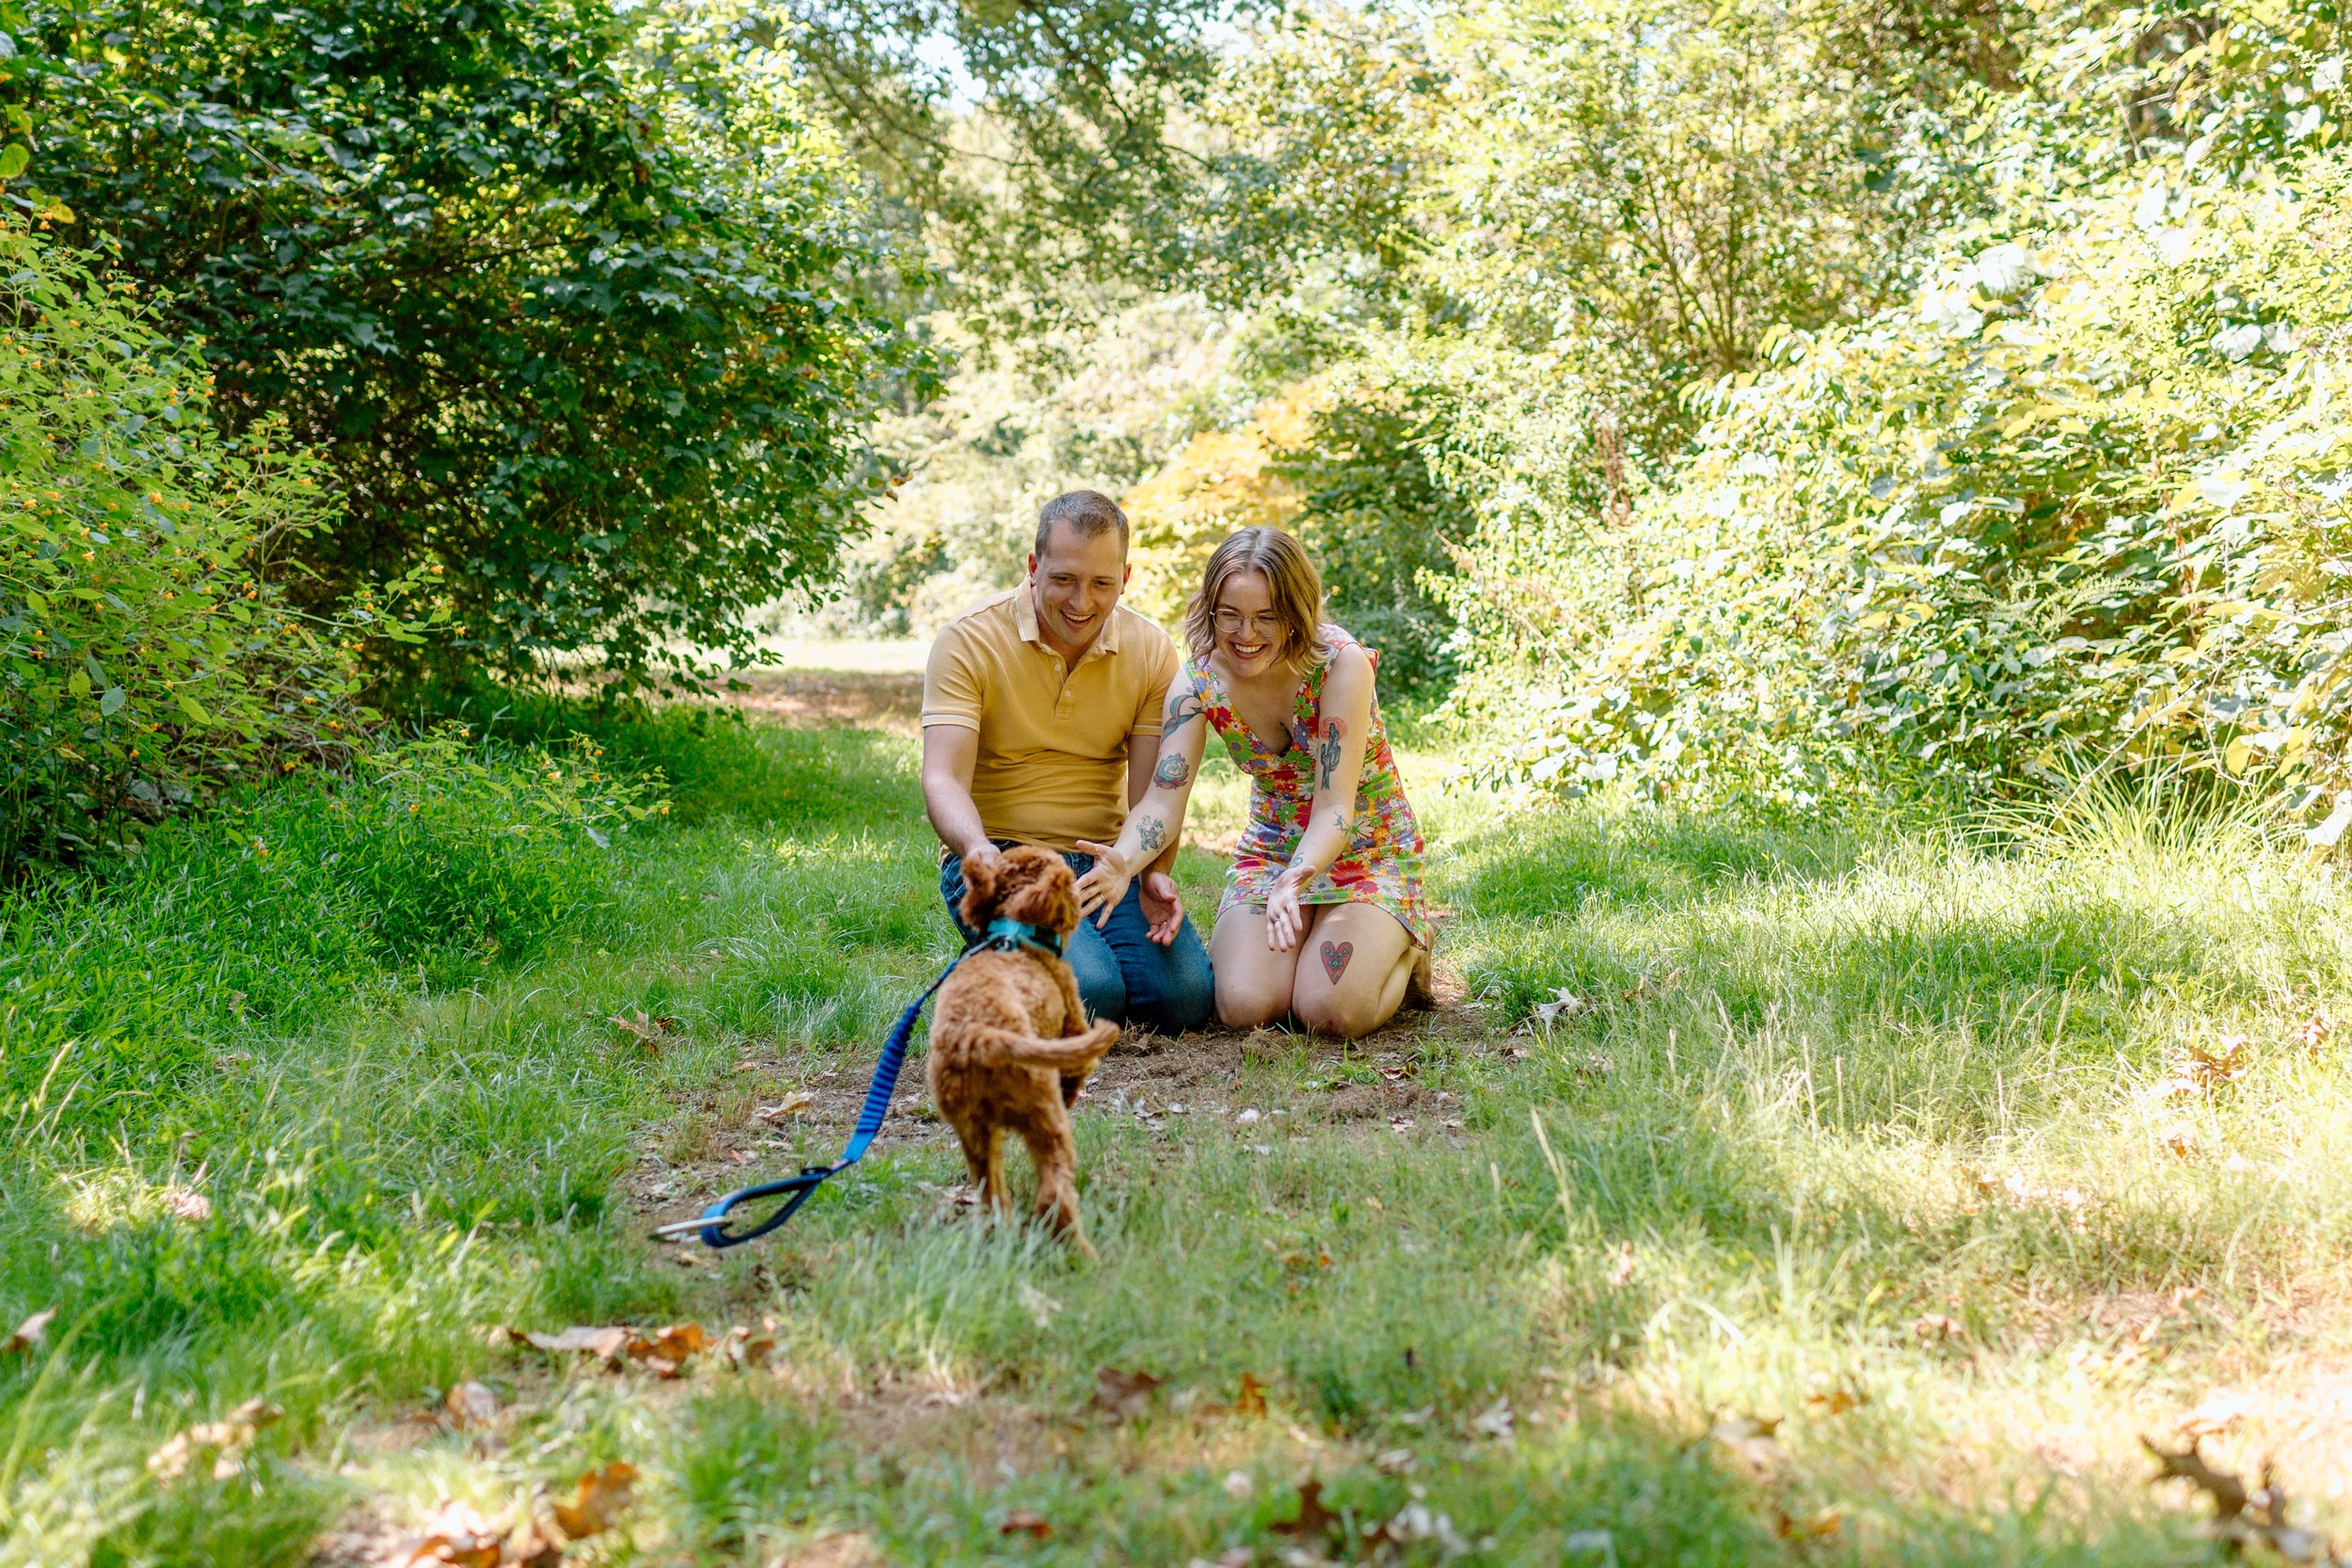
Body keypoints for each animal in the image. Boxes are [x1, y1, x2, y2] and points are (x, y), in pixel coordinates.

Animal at [927, 846, 1120, 1250]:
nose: (1080, 906)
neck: (1015, 931)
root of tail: (979, 1036)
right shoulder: (1073, 1021)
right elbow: (1075, 1069)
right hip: (1043, 1115)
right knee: (1052, 1192)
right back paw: (1082, 1252)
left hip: (973, 1130)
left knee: (991, 1195)